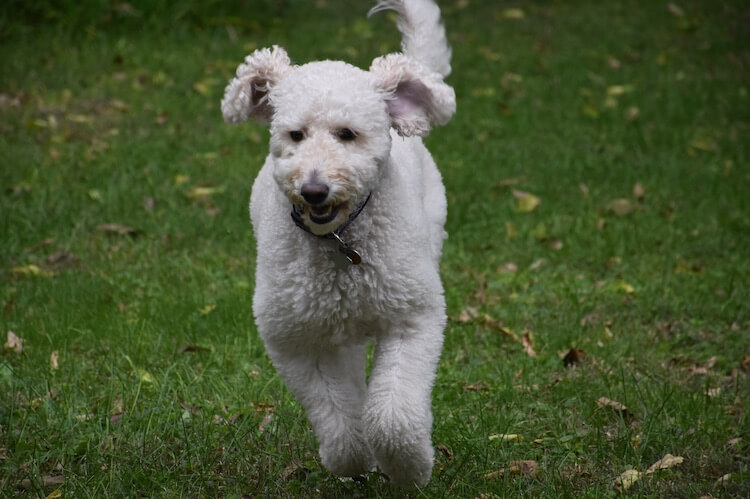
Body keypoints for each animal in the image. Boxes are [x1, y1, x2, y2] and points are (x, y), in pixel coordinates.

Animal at [223, 0, 456, 486]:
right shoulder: (296, 339)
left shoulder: (412, 319)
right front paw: (354, 461)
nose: (314, 190)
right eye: (295, 135)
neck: (338, 240)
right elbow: (337, 415)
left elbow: (393, 416)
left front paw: (409, 468)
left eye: (347, 134)